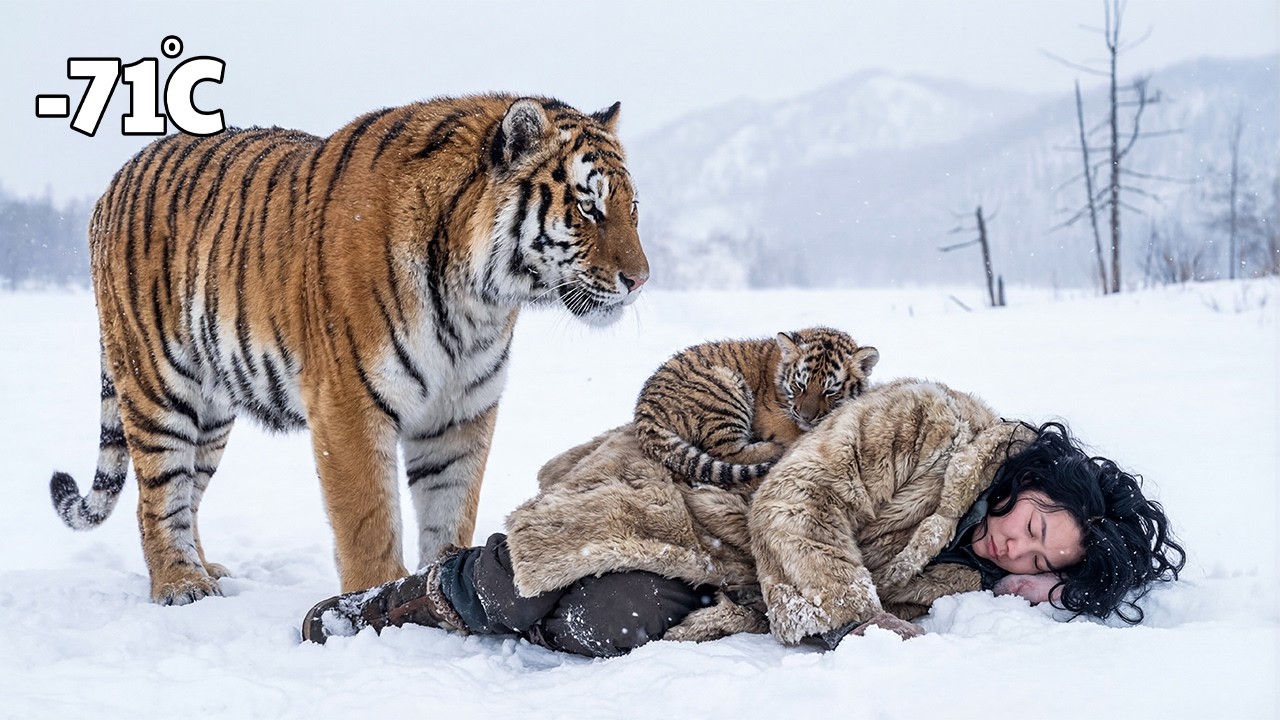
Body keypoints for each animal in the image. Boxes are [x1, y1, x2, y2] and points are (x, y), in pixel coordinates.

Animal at [47, 94, 650, 605]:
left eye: (633, 207)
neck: (477, 301)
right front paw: (373, 601)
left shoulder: (461, 411)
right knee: (157, 496)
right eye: (588, 207)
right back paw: (180, 584)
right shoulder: (349, 402)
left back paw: (206, 568)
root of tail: (116, 180)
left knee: (189, 489)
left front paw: (445, 583)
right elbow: (369, 520)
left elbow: (451, 507)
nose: (641, 280)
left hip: (214, 408)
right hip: (159, 385)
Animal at [633, 327, 880, 487]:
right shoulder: (774, 416)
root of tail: (645, 409)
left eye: (830, 391)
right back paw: (774, 450)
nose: (807, 417)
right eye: (800, 385)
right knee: (727, 452)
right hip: (725, 390)